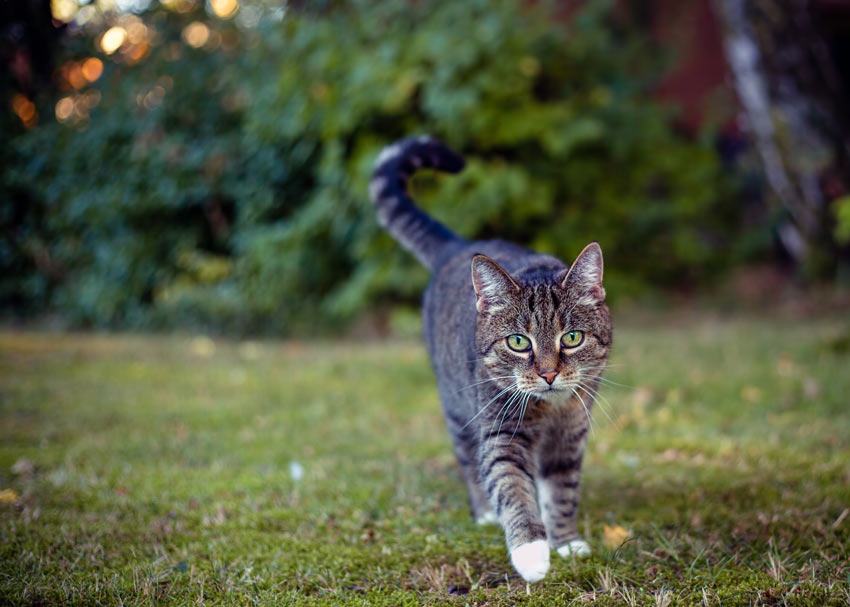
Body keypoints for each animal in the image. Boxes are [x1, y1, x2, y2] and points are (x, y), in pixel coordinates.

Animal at [366, 135, 608, 580]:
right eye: (518, 342)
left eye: (572, 337)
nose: (549, 374)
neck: (548, 410)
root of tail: (457, 246)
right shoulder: (500, 431)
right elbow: (511, 486)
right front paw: (531, 552)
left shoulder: (571, 433)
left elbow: (562, 489)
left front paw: (566, 541)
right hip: (458, 407)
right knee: (468, 460)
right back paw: (484, 513)